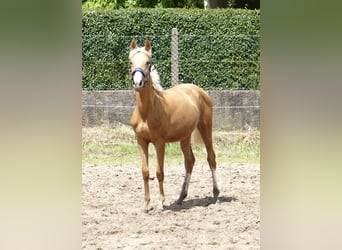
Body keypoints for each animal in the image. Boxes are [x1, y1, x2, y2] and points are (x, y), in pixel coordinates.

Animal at [128, 39, 219, 211]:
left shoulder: (159, 142)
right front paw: (146, 204)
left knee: (211, 157)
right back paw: (181, 197)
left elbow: (159, 172)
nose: (138, 83)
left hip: (205, 129)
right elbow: (145, 171)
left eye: (148, 62)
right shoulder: (141, 141)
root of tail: (198, 90)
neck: (146, 112)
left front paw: (161, 203)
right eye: (131, 62)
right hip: (185, 136)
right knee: (189, 161)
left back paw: (216, 194)